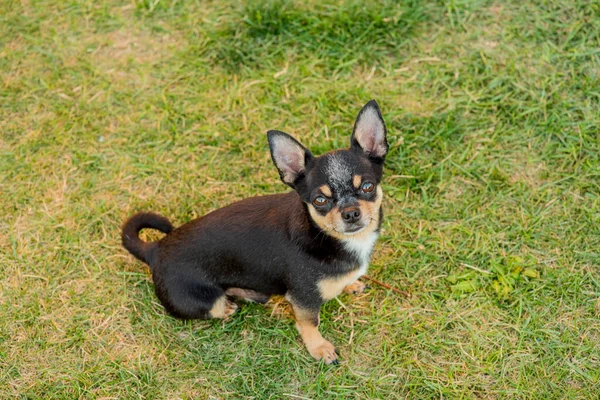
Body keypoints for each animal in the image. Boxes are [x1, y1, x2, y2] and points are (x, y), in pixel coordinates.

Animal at [124, 100, 392, 366]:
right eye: (320, 200)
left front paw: (349, 284)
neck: (326, 236)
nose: (350, 213)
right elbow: (309, 322)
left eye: (368, 186)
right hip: (203, 301)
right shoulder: (303, 299)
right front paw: (319, 348)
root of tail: (155, 249)